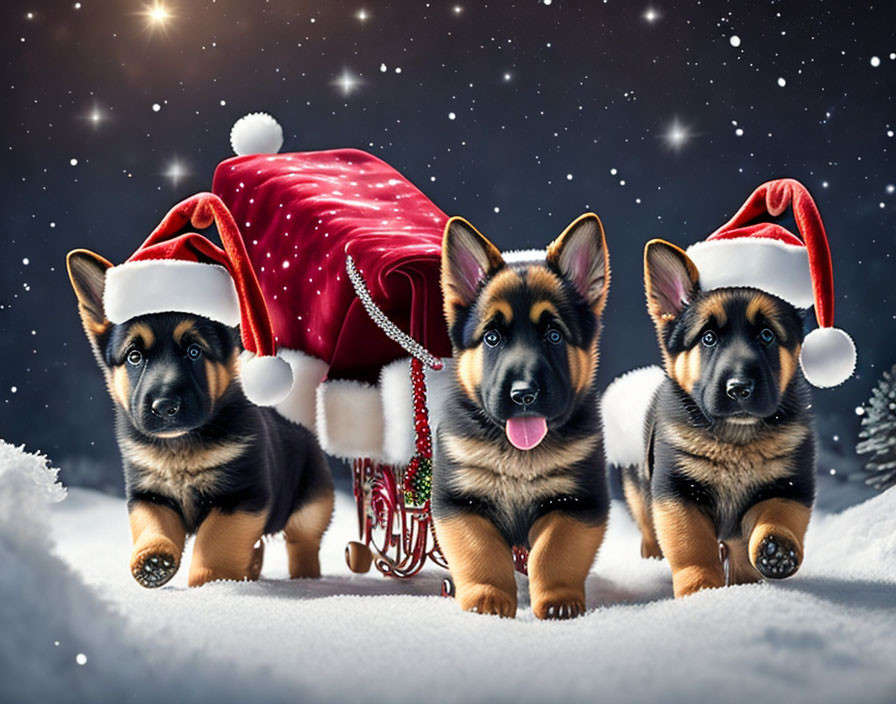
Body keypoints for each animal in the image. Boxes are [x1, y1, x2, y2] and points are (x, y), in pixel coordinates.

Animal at [66, 249, 332, 588]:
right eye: (134, 357)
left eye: (194, 352)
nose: (165, 406)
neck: (181, 446)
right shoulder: (150, 497)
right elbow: (152, 526)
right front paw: (153, 559)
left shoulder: (240, 499)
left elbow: (215, 542)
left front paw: (210, 583)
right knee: (256, 546)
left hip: (310, 506)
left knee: (302, 544)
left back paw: (304, 578)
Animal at [430, 212, 612, 620]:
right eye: (492, 338)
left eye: (554, 336)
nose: (523, 394)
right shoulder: (460, 505)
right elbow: (482, 552)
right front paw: (487, 598)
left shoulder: (577, 506)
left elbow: (552, 552)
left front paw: (558, 600)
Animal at [604, 239, 816, 596]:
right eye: (708, 338)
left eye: (767, 335)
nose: (739, 388)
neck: (736, 439)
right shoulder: (678, 495)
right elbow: (693, 545)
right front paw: (702, 590)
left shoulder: (789, 487)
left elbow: (777, 516)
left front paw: (776, 551)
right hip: (639, 491)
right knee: (648, 526)